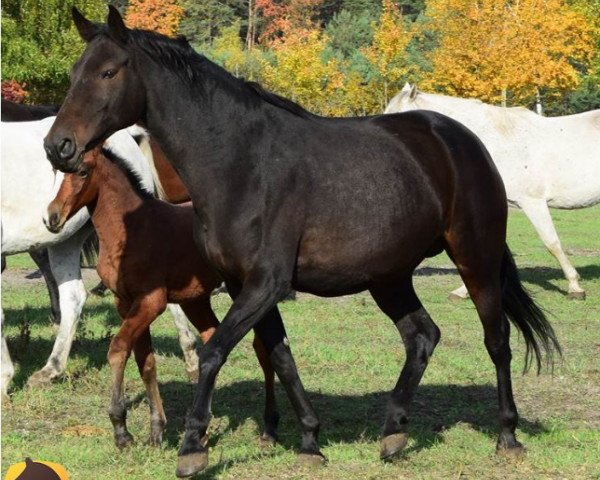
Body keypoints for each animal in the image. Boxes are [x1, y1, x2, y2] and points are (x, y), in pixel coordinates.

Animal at [1, 116, 200, 398]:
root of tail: (129, 134)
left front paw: (4, 380)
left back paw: (191, 359)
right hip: (65, 240)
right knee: (73, 298)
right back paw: (50, 369)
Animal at [45, 146, 278, 450]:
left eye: (83, 171)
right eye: (56, 171)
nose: (52, 217)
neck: (131, 230)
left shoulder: (151, 302)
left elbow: (118, 349)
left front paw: (121, 429)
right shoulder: (125, 303)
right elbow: (146, 361)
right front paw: (156, 431)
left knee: (262, 348)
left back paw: (268, 428)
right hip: (195, 300)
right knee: (212, 340)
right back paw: (203, 426)